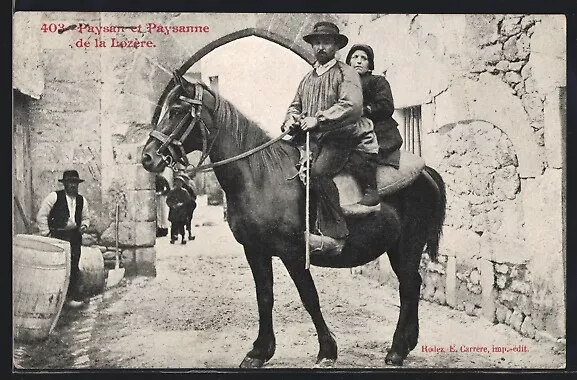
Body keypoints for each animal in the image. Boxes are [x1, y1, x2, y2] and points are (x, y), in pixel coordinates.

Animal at [142, 73, 448, 368]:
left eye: (177, 110)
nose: (148, 157)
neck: (261, 177)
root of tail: (425, 172)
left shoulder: (293, 253)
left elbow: (309, 297)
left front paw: (327, 350)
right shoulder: (255, 250)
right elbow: (264, 297)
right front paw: (259, 351)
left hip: (408, 246)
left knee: (408, 287)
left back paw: (396, 350)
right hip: (398, 248)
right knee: (412, 285)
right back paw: (405, 345)